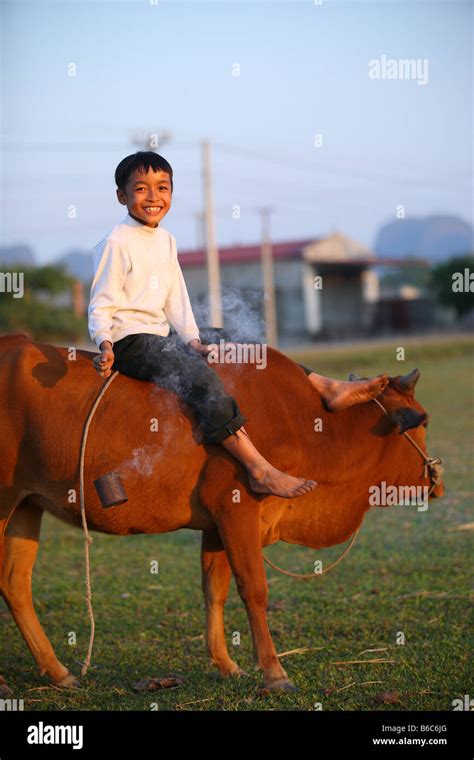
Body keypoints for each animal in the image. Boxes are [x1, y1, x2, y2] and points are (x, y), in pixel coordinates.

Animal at [0, 332, 444, 688]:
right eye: (423, 420)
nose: (437, 479)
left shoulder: (216, 524)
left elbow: (215, 588)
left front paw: (227, 665)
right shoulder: (237, 511)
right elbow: (254, 589)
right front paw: (274, 673)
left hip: (26, 507)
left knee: (15, 583)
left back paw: (59, 672)